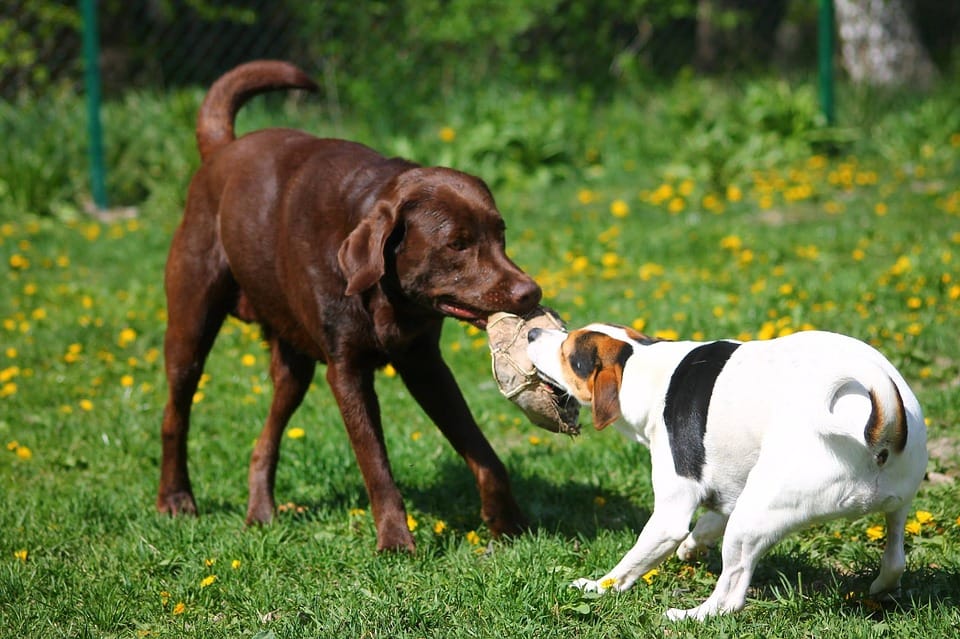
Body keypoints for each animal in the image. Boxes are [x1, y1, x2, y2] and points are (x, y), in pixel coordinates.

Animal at [161, 58, 544, 552]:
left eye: (500, 234)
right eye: (457, 244)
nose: (530, 293)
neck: (385, 297)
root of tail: (221, 150)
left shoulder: (425, 363)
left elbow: (481, 449)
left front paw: (506, 521)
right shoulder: (346, 373)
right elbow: (376, 464)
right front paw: (396, 541)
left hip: (295, 366)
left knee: (266, 437)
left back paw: (260, 511)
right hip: (191, 325)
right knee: (175, 413)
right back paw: (175, 499)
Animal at [528, 324, 928, 620]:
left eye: (567, 352)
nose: (532, 332)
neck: (643, 366)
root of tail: (880, 428)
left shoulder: (670, 514)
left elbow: (629, 565)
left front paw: (598, 587)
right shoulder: (729, 488)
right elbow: (707, 521)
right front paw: (692, 547)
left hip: (751, 520)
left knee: (730, 596)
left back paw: (690, 616)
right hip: (896, 505)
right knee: (895, 559)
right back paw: (881, 588)